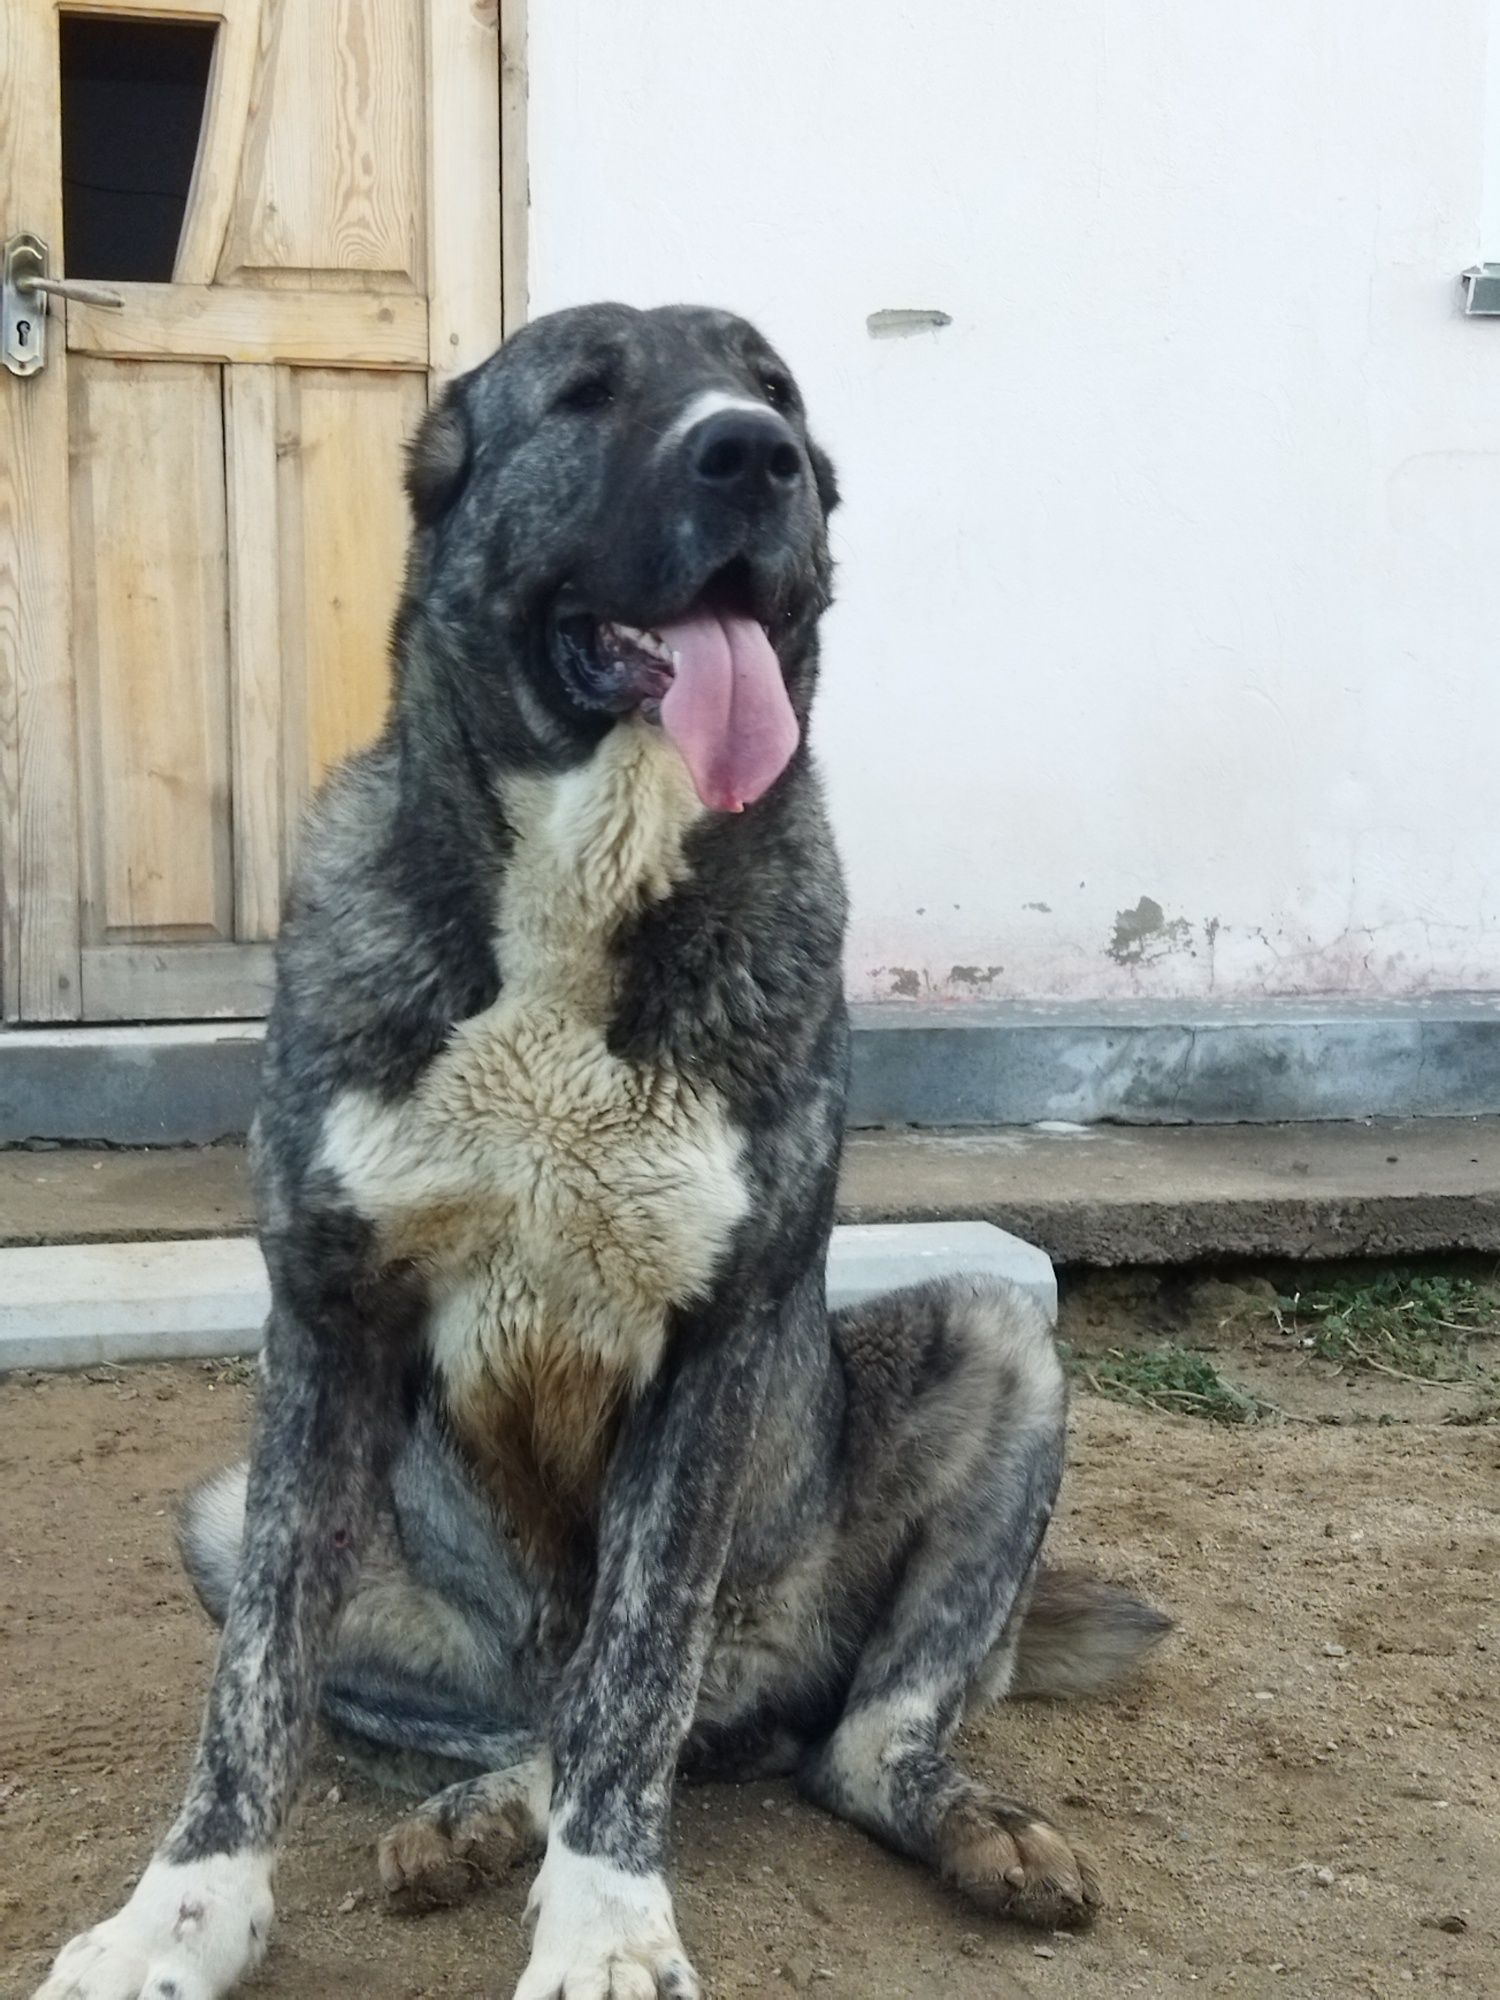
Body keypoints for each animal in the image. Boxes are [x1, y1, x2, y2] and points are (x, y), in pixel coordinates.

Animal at [29, 300, 1168, 2000]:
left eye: (776, 394)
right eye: (583, 394)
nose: (752, 456)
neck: (587, 875)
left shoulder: (709, 1352)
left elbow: (636, 1684)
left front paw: (611, 1927)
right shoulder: (324, 1329)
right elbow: (253, 1695)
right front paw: (180, 1918)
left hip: (992, 1349)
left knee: (826, 1740)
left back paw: (965, 1824)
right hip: (233, 1521)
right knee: (528, 1724)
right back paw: (478, 1812)